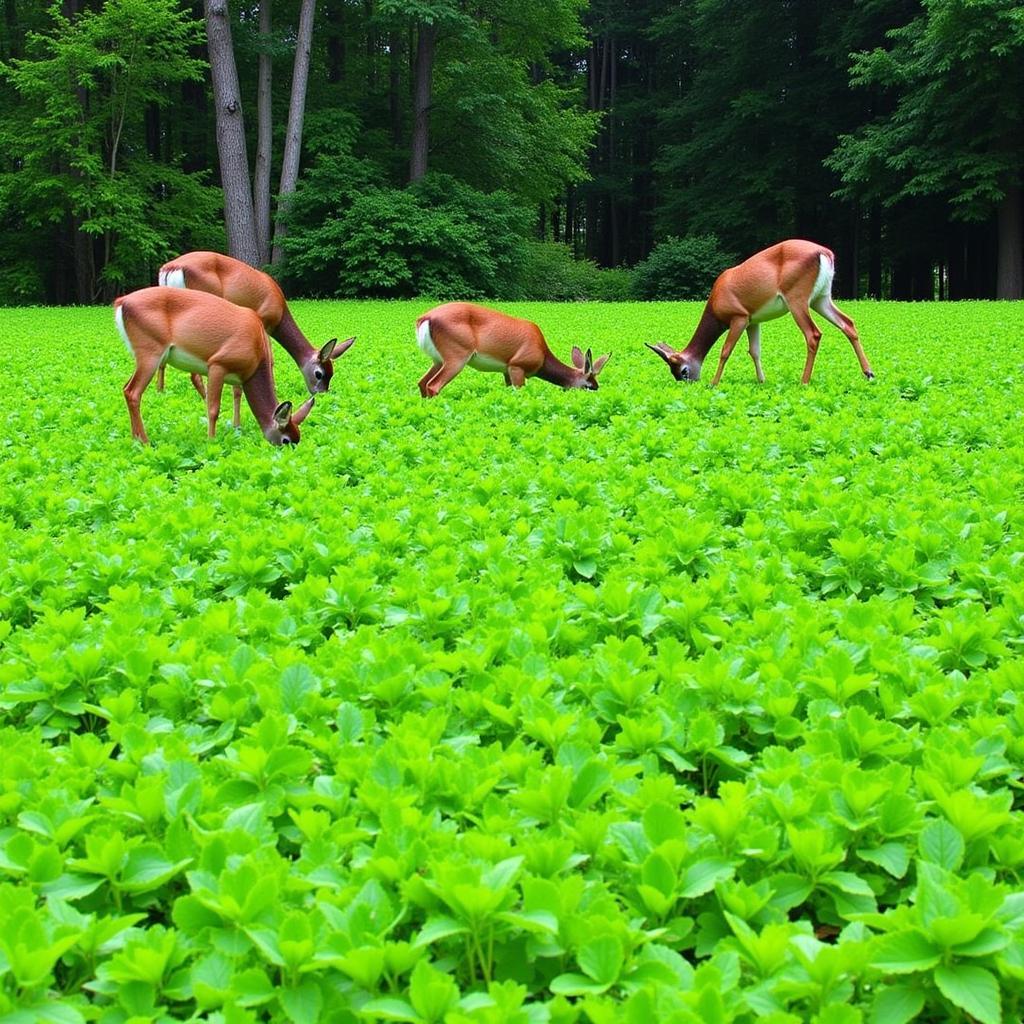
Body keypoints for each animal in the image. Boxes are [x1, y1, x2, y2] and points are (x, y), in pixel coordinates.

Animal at [114, 288, 313, 448]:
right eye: (285, 440)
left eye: (298, 439)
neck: (257, 351)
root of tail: (121, 302)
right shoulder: (218, 364)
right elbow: (213, 408)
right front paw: (211, 440)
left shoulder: (237, 376)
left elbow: (235, 396)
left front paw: (235, 428)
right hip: (150, 351)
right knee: (133, 392)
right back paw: (144, 441)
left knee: (125, 388)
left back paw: (135, 438)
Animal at [155, 251, 354, 428]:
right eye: (319, 373)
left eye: (332, 373)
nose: (321, 394)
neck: (279, 311)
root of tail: (171, 268)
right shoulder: (263, 321)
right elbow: (270, 360)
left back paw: (161, 391)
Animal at [413, 299, 610, 395]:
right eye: (590, 386)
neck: (542, 356)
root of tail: (424, 319)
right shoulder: (518, 365)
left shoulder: (506, 370)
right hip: (457, 355)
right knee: (433, 385)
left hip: (438, 359)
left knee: (422, 382)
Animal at [647, 239, 872, 387]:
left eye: (683, 371)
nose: (689, 383)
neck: (716, 306)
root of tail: (825, 253)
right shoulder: (753, 320)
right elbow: (754, 351)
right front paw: (762, 380)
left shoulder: (739, 316)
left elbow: (725, 351)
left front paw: (714, 383)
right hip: (821, 297)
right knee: (848, 323)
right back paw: (869, 373)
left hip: (797, 296)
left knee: (813, 334)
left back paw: (804, 381)